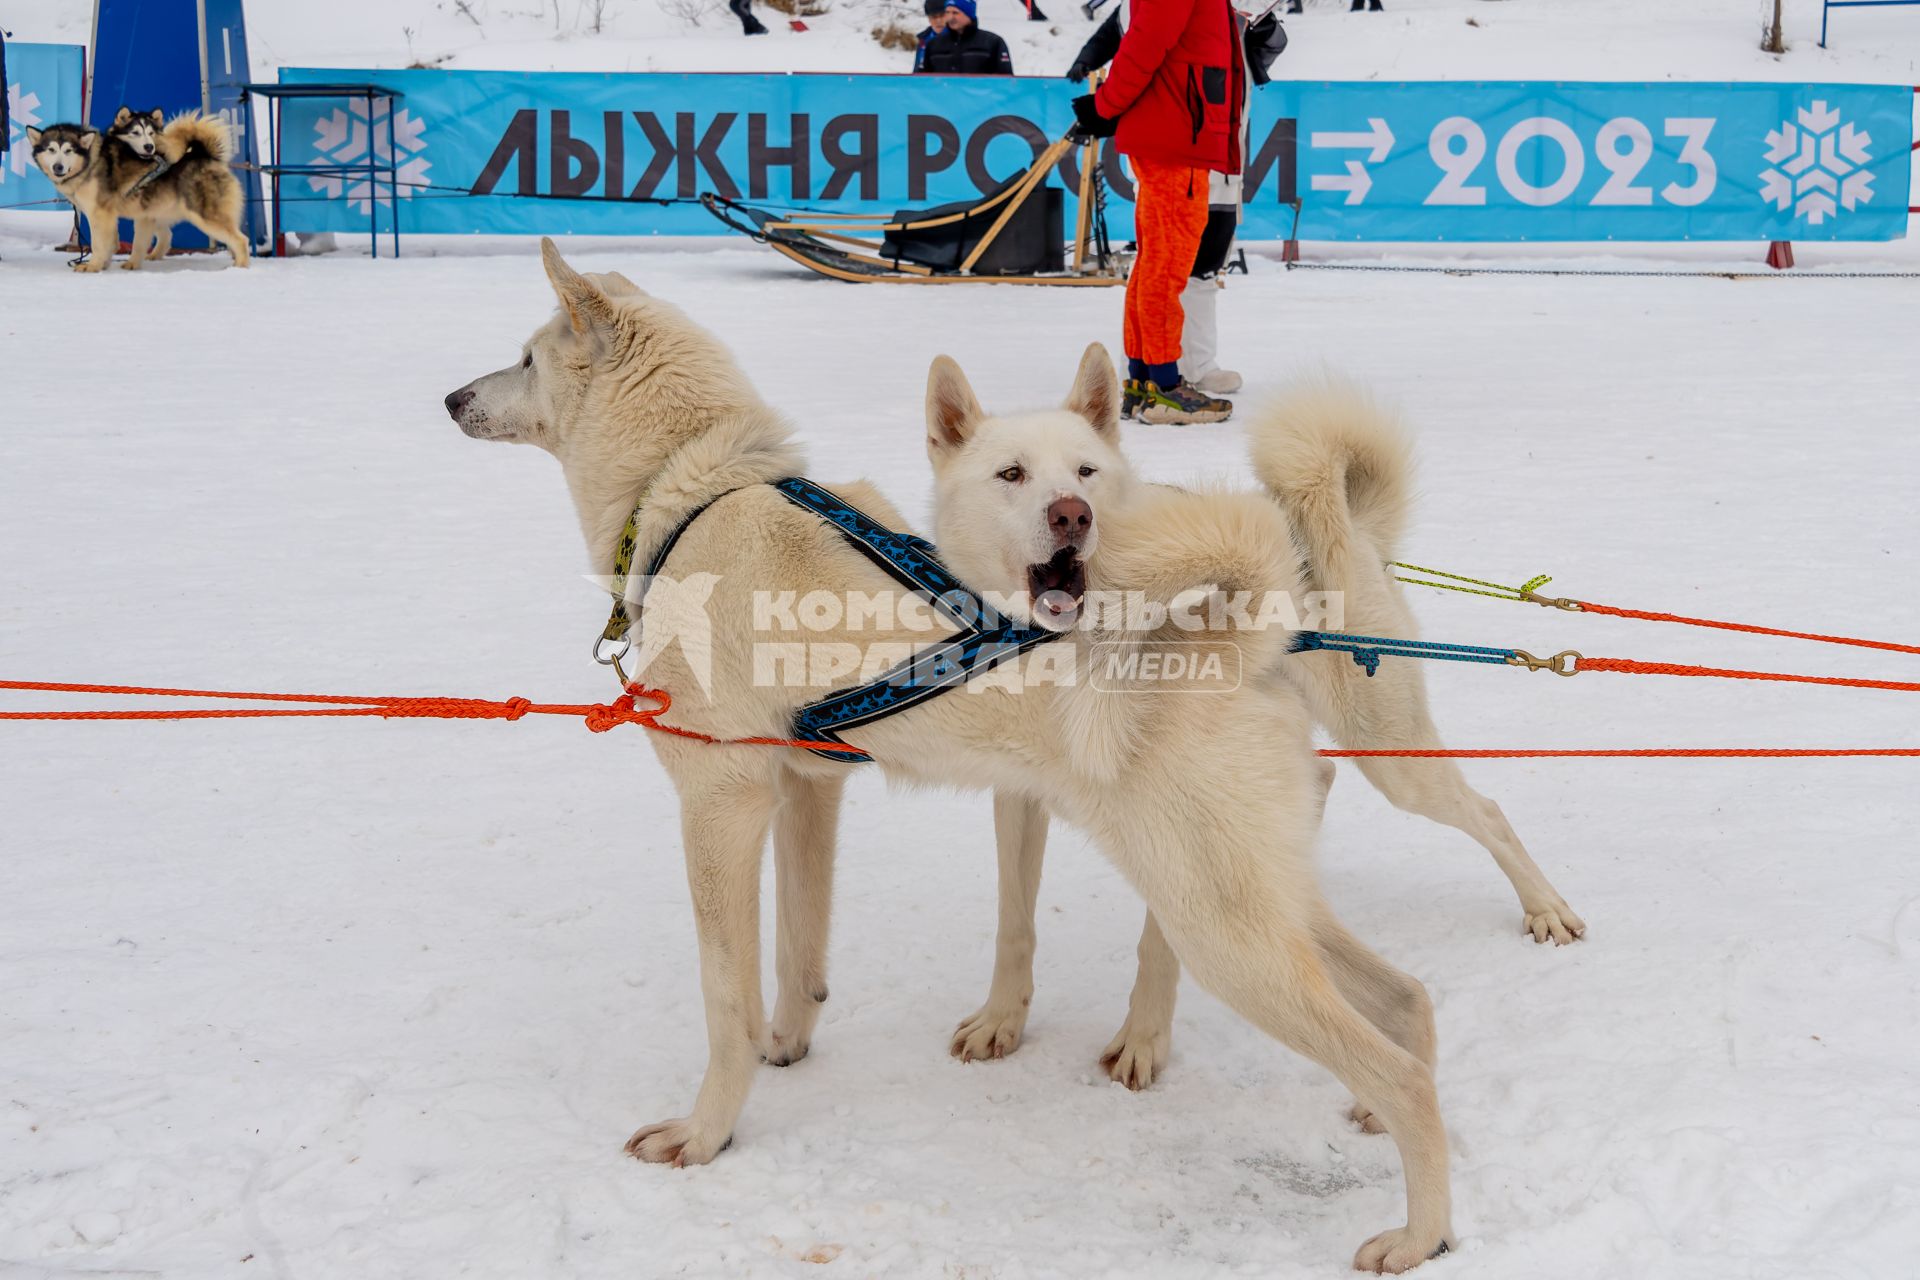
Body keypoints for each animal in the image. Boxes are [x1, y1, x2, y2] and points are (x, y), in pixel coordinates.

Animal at [26, 106, 253, 270]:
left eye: (68, 150)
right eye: (51, 149)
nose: (58, 167)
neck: (90, 161)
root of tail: (204, 154)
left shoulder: (99, 213)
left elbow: (99, 243)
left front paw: (92, 266)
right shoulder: (110, 215)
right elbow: (111, 242)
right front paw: (105, 264)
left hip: (204, 216)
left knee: (241, 240)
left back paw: (240, 268)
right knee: (166, 237)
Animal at [439, 237, 1451, 1274]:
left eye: (524, 357)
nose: (450, 398)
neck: (697, 490)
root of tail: (1231, 636)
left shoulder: (720, 805)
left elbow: (726, 999)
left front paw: (707, 1133)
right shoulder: (805, 791)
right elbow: (799, 953)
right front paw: (787, 1044)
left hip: (1225, 931)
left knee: (1405, 1071)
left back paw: (1421, 1233)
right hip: (1249, 901)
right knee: (1408, 1003)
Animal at [933, 376, 1589, 1097]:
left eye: (1085, 471)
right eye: (1012, 474)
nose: (1072, 516)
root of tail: (1345, 524)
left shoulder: (1174, 799)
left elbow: (1159, 941)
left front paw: (1144, 1037)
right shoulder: (1018, 798)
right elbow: (1014, 921)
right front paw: (1002, 1018)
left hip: (1393, 755)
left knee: (1486, 813)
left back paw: (1545, 907)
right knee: (1322, 777)